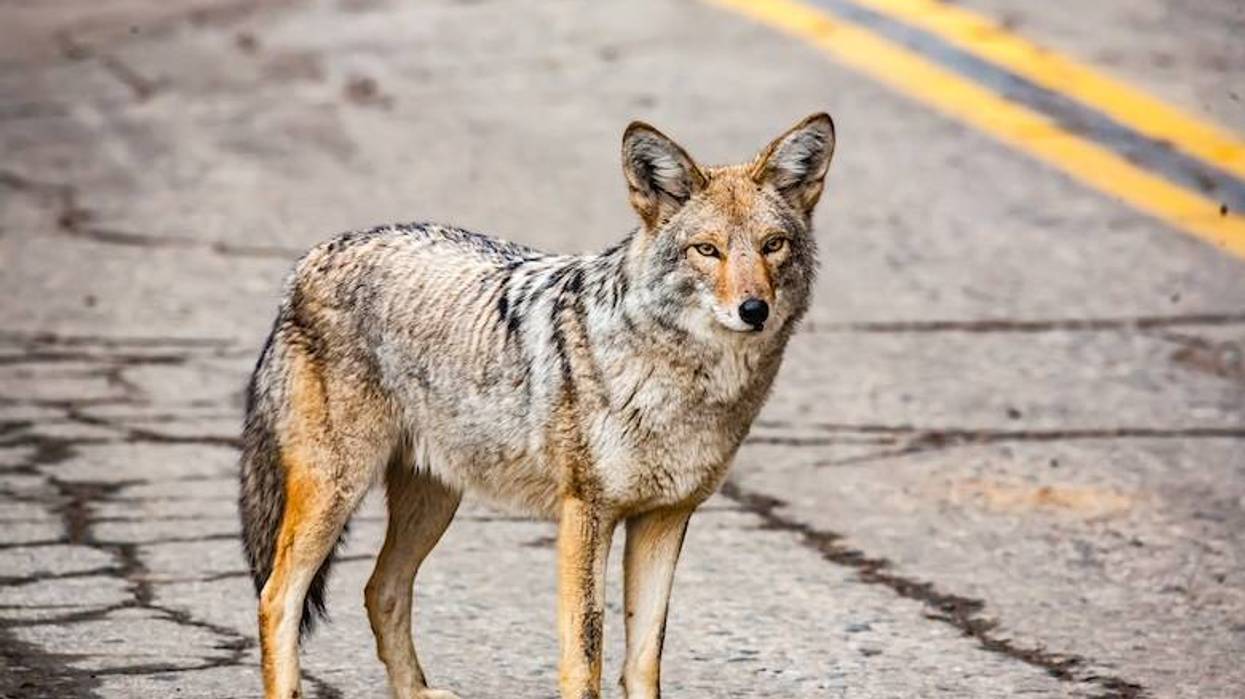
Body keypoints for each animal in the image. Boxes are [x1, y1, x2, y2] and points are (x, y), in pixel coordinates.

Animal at [238, 112, 835, 699]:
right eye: (707, 250)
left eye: (773, 245)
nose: (754, 309)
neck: (685, 385)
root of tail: (309, 260)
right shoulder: (585, 514)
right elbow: (586, 657)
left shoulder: (665, 518)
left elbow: (644, 660)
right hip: (338, 492)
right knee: (277, 597)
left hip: (434, 502)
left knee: (380, 589)